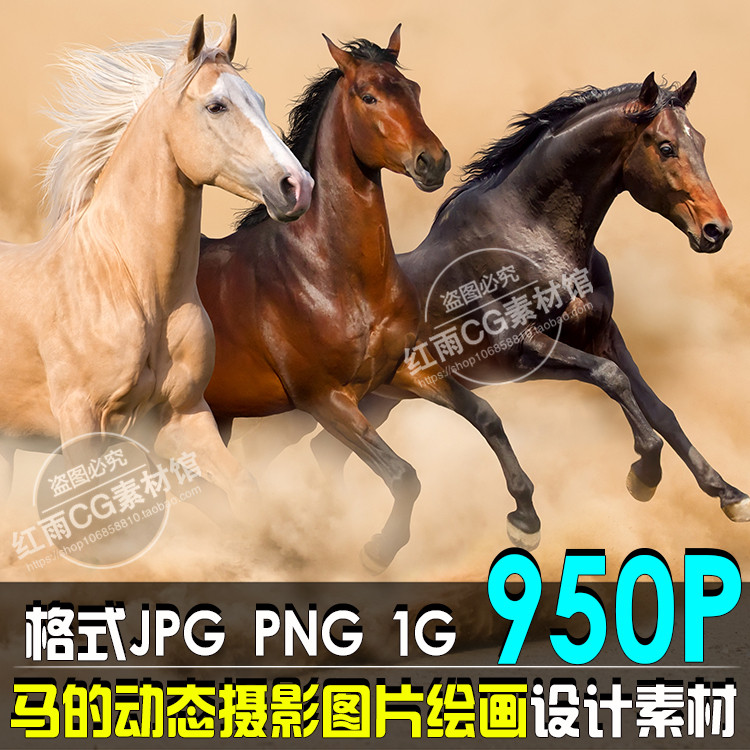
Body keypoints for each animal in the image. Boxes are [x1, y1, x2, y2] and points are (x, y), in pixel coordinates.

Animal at [0, 16, 313, 515]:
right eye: (216, 106)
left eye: (260, 101)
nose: (297, 186)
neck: (133, 291)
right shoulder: (82, 426)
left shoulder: (182, 415)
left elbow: (243, 489)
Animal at [197, 27, 450, 572]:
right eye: (369, 96)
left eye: (414, 90)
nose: (433, 161)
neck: (332, 274)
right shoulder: (324, 399)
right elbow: (403, 474)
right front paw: (376, 552)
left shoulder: (394, 372)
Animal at [264, 72, 750, 564]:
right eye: (665, 147)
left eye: (700, 141)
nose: (717, 230)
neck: (533, 237)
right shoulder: (527, 350)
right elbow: (612, 380)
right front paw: (643, 476)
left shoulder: (602, 334)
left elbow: (659, 409)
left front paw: (728, 494)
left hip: (376, 402)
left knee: (327, 451)